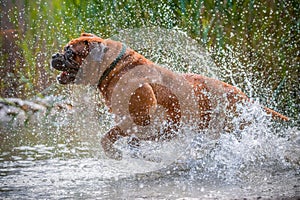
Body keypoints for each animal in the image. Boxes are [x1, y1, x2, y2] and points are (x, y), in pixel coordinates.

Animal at [51, 33, 288, 160]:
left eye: (70, 52)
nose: (54, 55)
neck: (115, 67)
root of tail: (240, 94)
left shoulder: (139, 118)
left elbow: (107, 136)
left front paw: (114, 153)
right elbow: (132, 143)